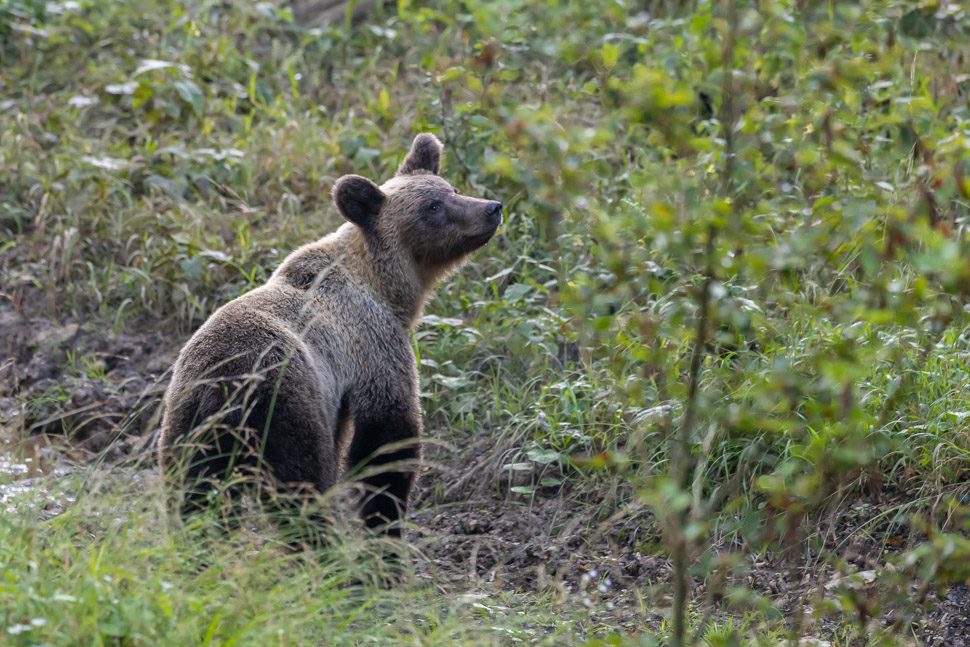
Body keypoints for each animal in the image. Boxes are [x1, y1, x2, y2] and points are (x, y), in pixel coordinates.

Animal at [158, 134, 500, 540]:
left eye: (453, 189)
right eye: (433, 206)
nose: (492, 208)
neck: (384, 287)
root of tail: (223, 385)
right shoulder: (373, 347)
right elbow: (387, 443)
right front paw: (384, 528)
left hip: (188, 423)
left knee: (193, 495)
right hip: (286, 405)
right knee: (301, 486)